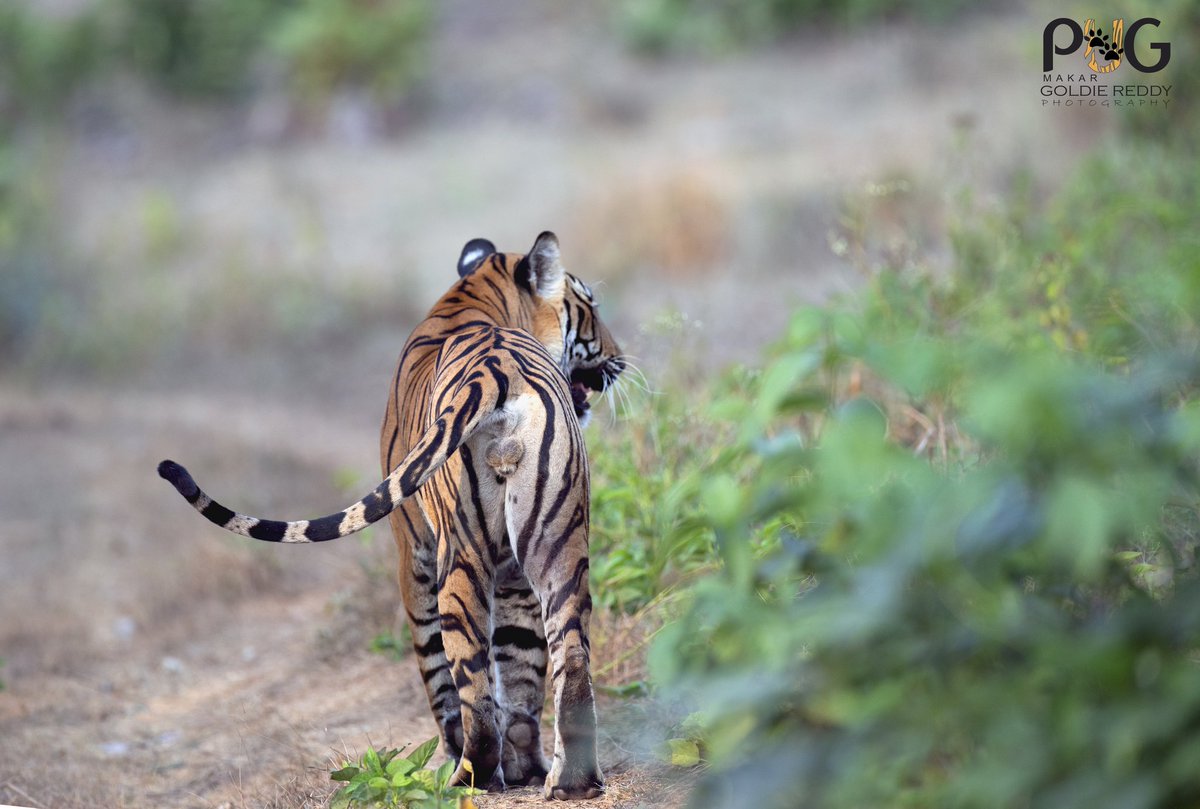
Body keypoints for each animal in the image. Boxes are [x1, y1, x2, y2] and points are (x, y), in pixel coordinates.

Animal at [157, 231, 623, 800]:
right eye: (590, 308)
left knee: (470, 684)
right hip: (559, 543)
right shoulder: (513, 576)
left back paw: (466, 778)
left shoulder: (412, 552)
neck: (475, 292)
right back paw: (570, 781)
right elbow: (519, 675)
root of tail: (499, 370)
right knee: (569, 654)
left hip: (458, 559)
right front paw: (525, 770)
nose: (619, 362)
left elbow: (437, 668)